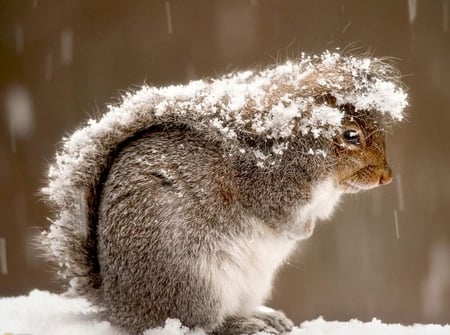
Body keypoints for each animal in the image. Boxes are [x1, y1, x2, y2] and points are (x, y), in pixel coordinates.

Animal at [41, 51, 408, 335]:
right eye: (351, 135)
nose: (387, 177)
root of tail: (120, 306)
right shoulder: (266, 188)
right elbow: (280, 217)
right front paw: (301, 231)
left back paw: (263, 316)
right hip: (195, 282)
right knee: (203, 324)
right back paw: (242, 324)